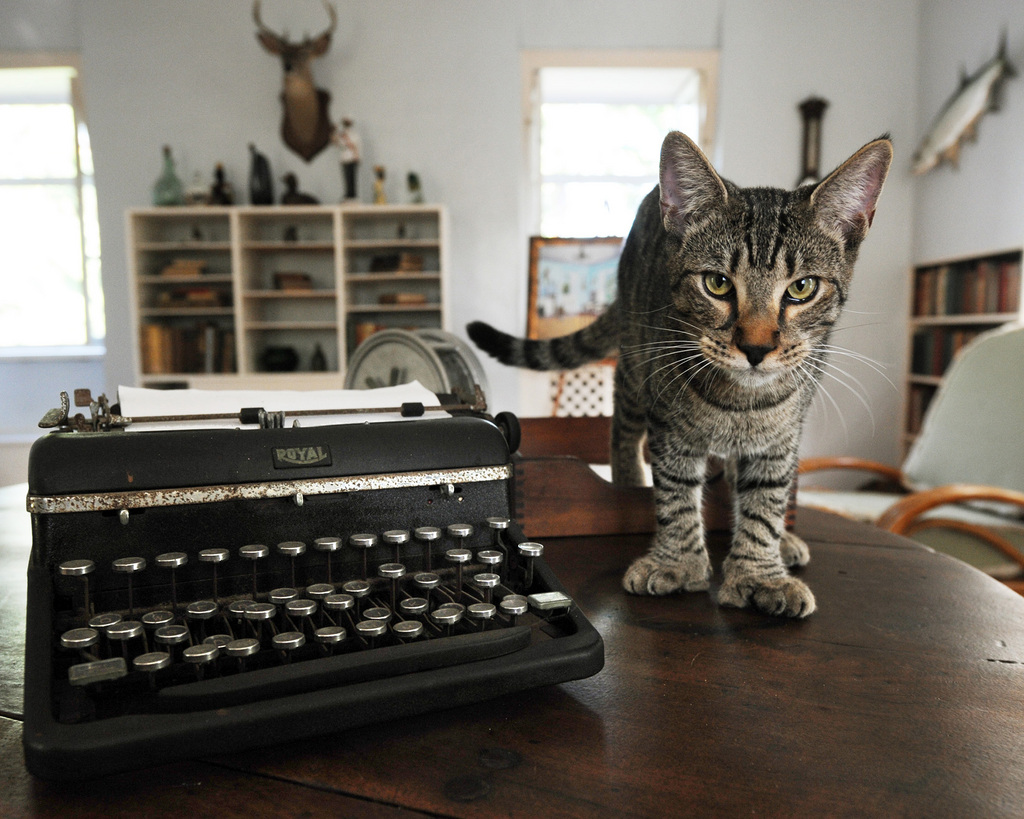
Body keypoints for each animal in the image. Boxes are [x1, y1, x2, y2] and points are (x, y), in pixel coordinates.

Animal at [468, 133, 892, 614]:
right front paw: (679, 562)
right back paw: (628, 482)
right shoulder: (668, 426)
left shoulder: (780, 438)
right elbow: (675, 493)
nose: (756, 347)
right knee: (623, 432)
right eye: (718, 283)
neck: (739, 403)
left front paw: (759, 571)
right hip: (635, 365)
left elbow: (766, 501)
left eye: (802, 288)